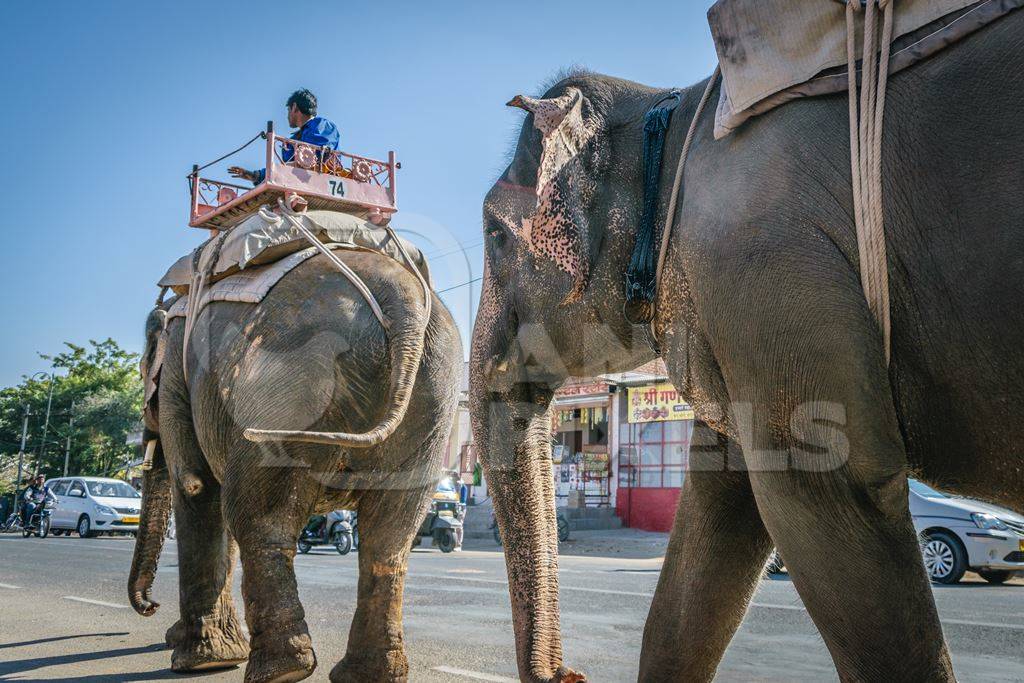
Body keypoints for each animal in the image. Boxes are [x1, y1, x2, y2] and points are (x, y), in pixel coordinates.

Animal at [129, 248, 464, 683]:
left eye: (142, 371)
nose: (149, 606)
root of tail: (400, 300)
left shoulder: (176, 375)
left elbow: (198, 488)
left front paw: (201, 660)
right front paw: (206, 650)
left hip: (286, 390)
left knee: (258, 519)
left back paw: (280, 672)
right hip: (433, 396)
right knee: (391, 536)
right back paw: (361, 674)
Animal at [468, 10, 1024, 683]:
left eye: (494, 235)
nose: (569, 673)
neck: (670, 115)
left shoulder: (759, 268)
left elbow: (829, 482)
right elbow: (717, 514)